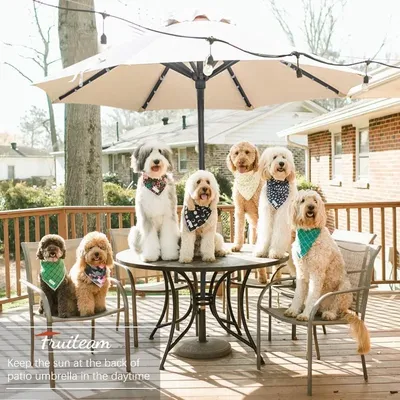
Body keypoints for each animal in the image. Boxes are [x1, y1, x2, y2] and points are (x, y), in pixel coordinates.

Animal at [253, 147, 296, 282]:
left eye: (284, 157)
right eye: (275, 157)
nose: (281, 163)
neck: (278, 184)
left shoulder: (282, 217)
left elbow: (278, 234)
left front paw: (275, 252)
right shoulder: (266, 214)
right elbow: (265, 232)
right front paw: (261, 251)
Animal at [282, 190, 370, 354]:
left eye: (315, 201)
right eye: (303, 200)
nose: (311, 207)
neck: (308, 233)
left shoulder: (317, 274)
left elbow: (312, 296)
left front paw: (305, 315)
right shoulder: (301, 273)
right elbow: (298, 294)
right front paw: (293, 310)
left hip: (344, 289)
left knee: (336, 308)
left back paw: (328, 313)